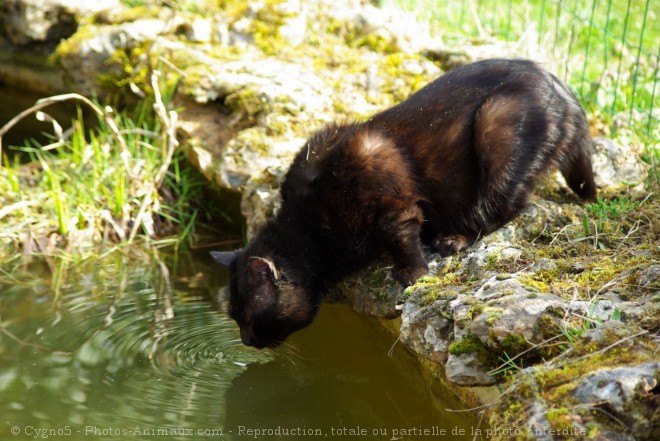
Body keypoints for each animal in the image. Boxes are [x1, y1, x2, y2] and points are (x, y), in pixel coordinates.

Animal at [213, 57, 600, 348]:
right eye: (233, 315)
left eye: (251, 318)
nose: (245, 340)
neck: (309, 224)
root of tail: (570, 100)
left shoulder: (388, 195)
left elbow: (400, 235)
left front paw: (412, 274)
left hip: (498, 131)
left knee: (504, 207)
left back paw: (452, 238)